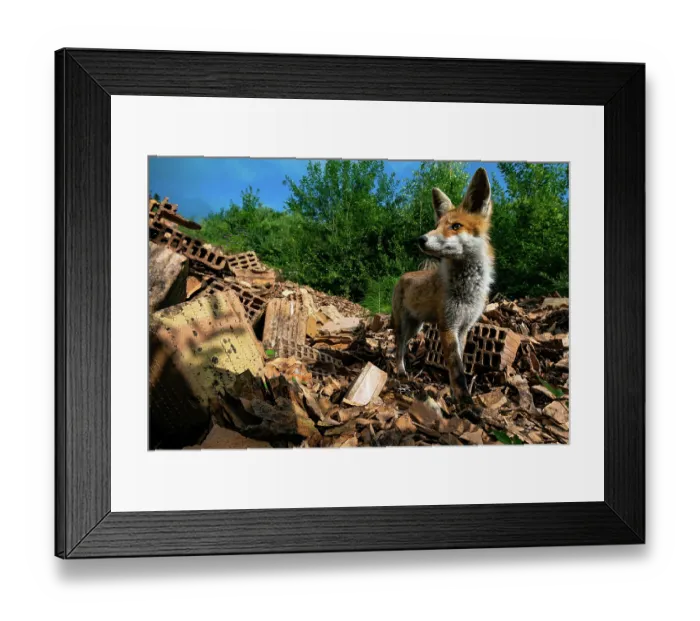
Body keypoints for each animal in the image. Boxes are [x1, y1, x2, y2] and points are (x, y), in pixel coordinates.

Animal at [392, 167, 494, 407]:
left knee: (402, 346)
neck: (467, 292)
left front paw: (457, 396)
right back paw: (400, 371)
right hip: (404, 325)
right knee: (398, 347)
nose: (421, 239)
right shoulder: (448, 326)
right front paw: (465, 404)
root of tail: (403, 276)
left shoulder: (464, 327)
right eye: (436, 226)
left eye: (455, 226)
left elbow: (460, 365)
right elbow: (456, 371)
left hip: (416, 327)